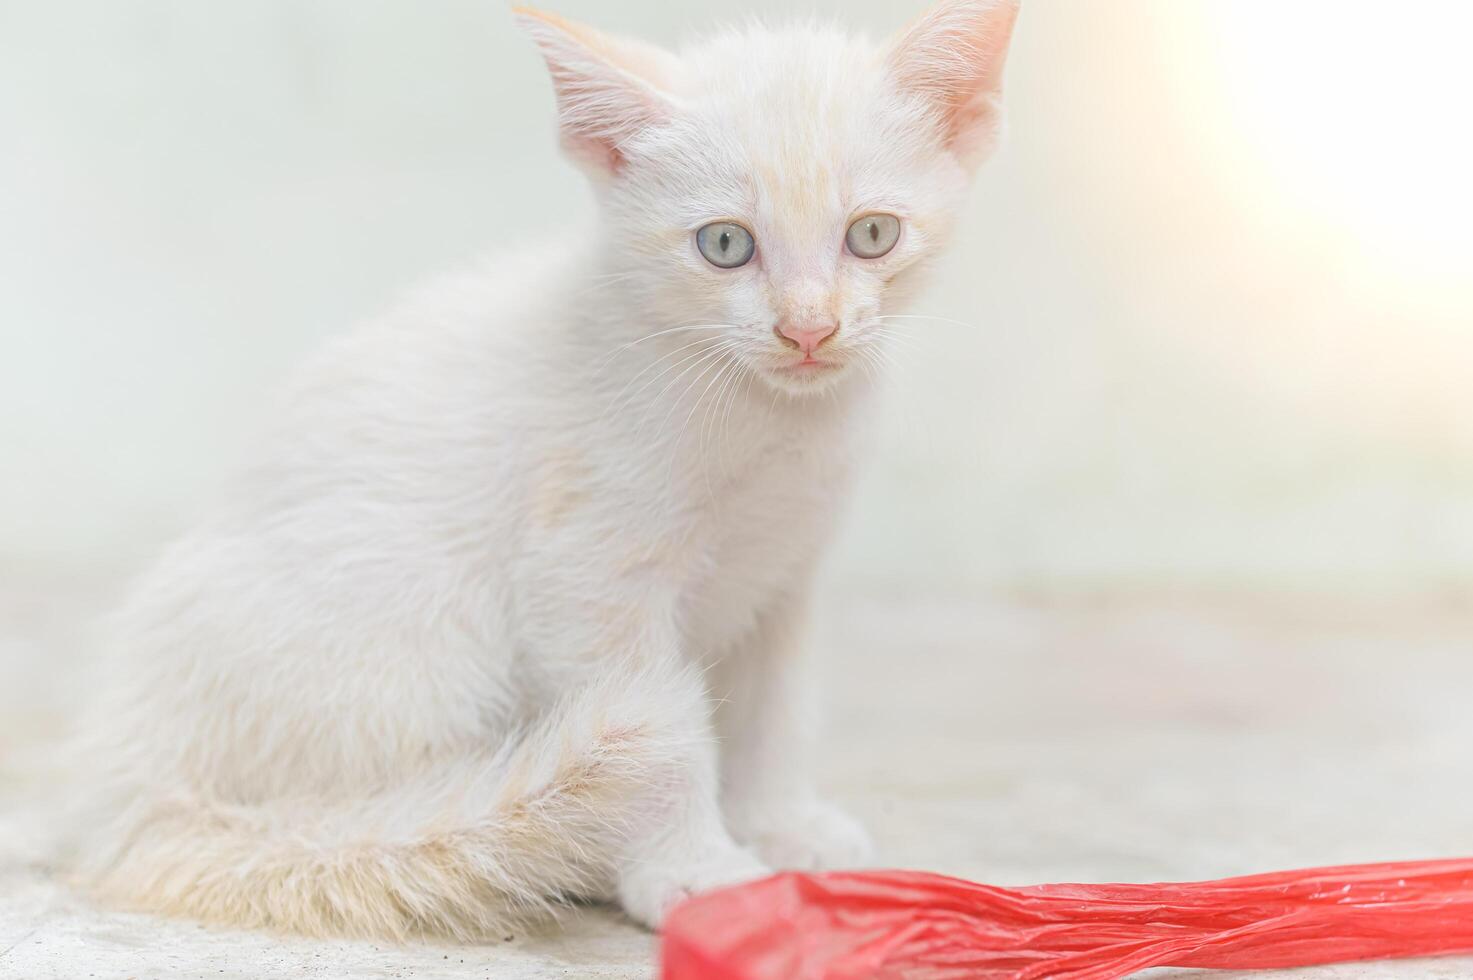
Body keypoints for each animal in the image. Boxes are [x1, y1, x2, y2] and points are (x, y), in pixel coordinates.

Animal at [66, 0, 1013, 931]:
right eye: (724, 245)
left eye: (872, 234)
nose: (807, 329)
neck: (768, 418)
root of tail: (125, 792)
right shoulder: (585, 576)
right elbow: (666, 736)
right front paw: (691, 870)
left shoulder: (783, 573)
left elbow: (772, 711)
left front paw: (781, 826)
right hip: (412, 630)